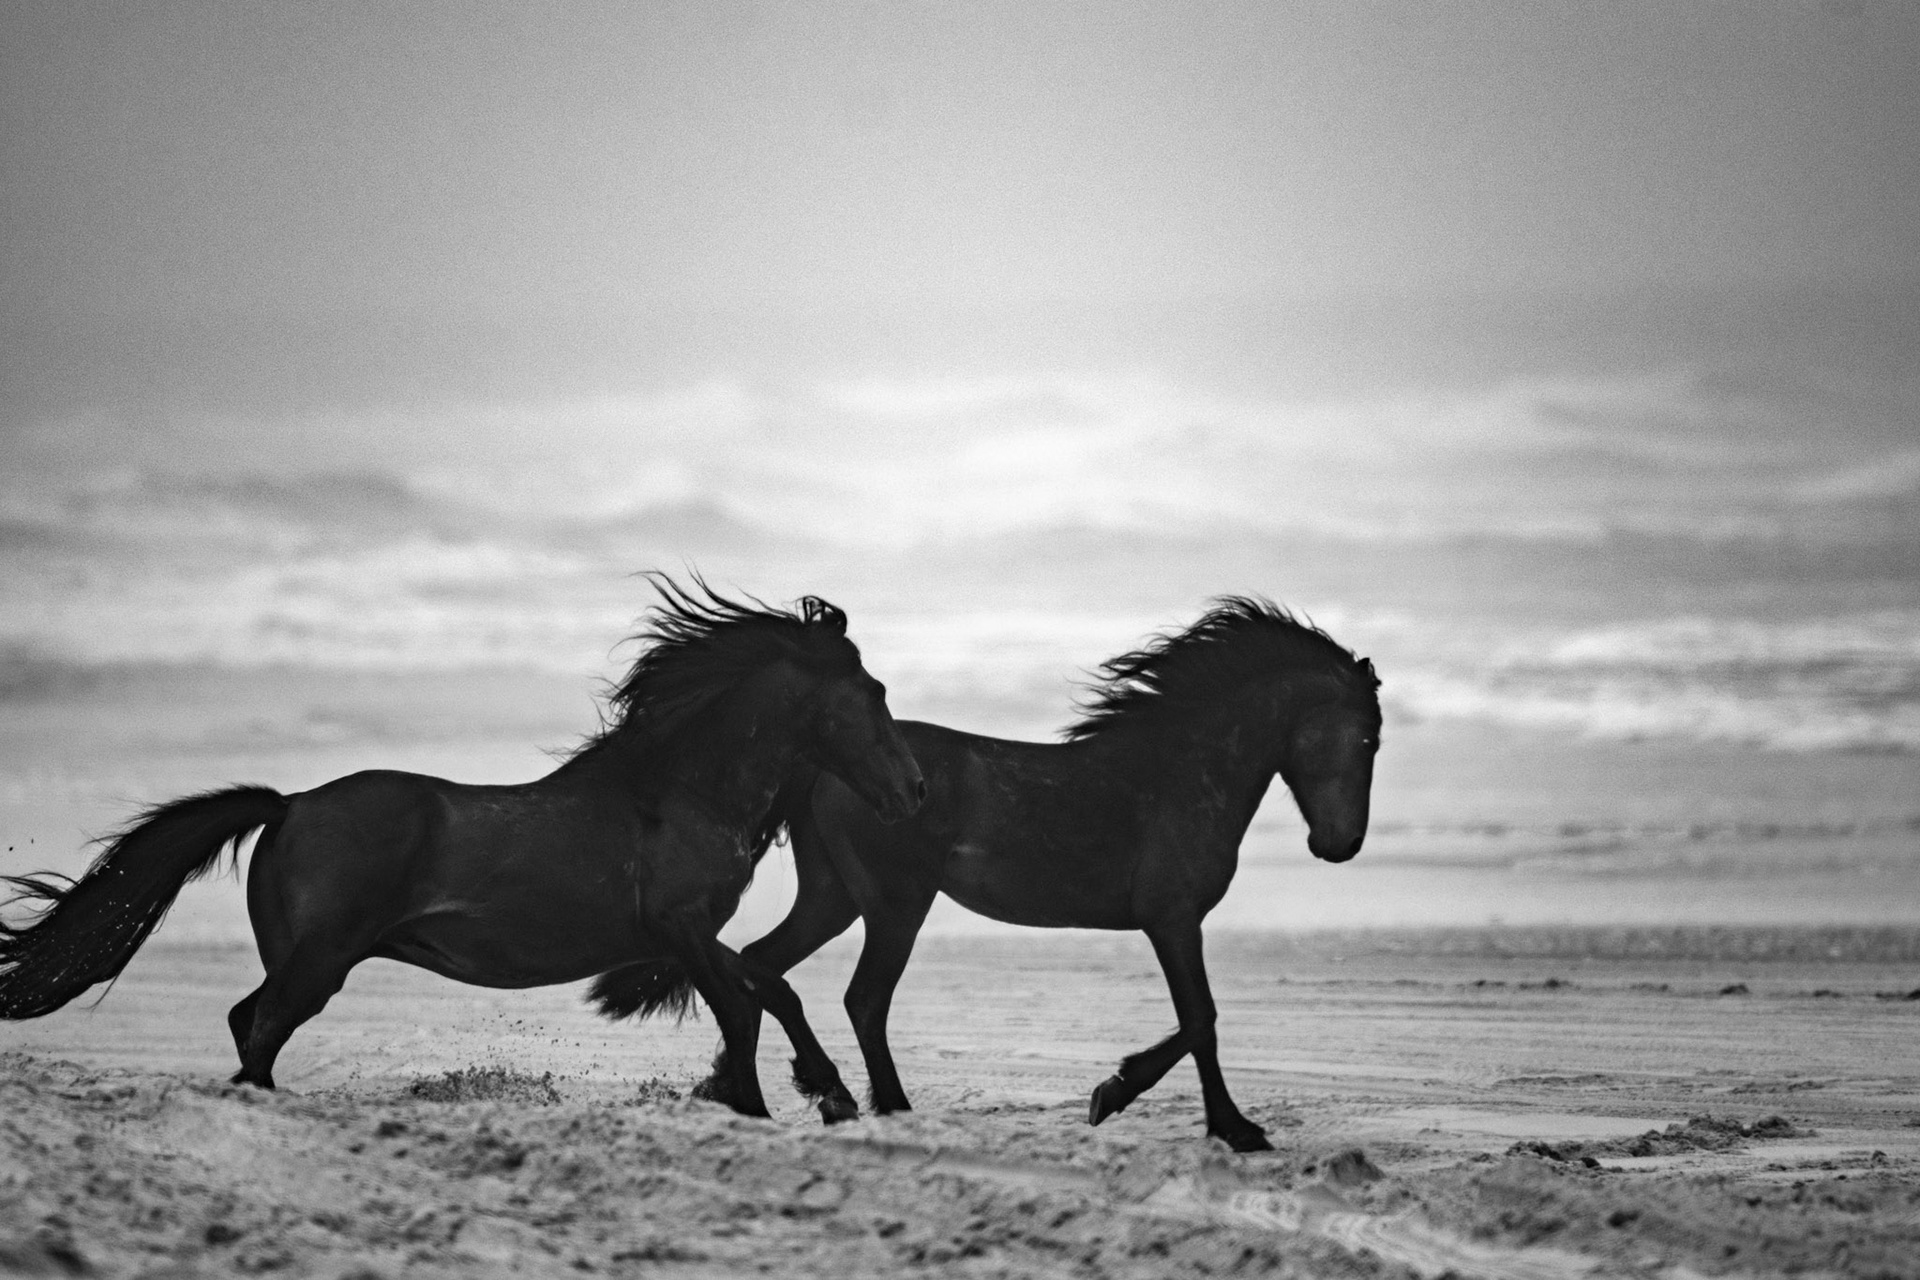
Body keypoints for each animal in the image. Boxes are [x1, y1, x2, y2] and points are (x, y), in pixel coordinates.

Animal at [0, 576, 925, 1124]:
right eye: (874, 692)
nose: (914, 790)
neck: (679, 792)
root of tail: (290, 805)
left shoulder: (686, 934)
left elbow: (771, 993)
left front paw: (830, 1095)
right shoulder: (681, 926)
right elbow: (741, 1006)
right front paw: (762, 1108)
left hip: (307, 956)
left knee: (245, 1022)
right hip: (322, 959)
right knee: (259, 1029)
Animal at [593, 596, 1379, 1150]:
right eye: (1370, 736)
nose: (1340, 845)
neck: (1180, 773)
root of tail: (820, 766)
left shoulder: (1171, 922)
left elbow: (1196, 1021)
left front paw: (1135, 1097)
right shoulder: (1173, 919)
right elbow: (1202, 1020)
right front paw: (1214, 1123)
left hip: (834, 899)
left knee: (761, 965)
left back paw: (741, 1087)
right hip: (896, 904)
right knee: (861, 998)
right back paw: (884, 1105)